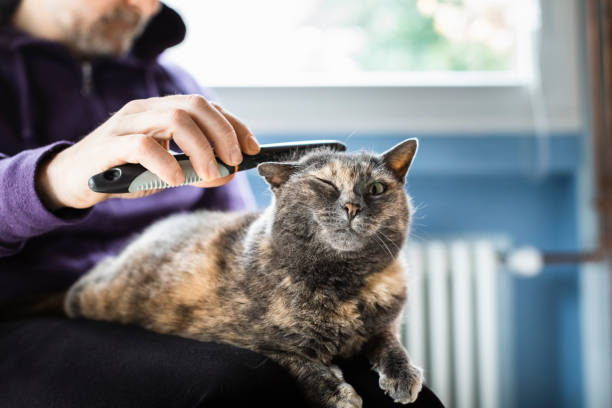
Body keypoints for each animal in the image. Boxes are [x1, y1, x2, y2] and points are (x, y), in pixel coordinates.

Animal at [64, 139, 424, 406]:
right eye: (325, 182)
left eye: (376, 188)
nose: (352, 206)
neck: (344, 284)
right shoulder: (253, 343)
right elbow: (300, 362)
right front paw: (337, 393)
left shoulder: (385, 322)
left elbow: (390, 342)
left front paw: (404, 376)